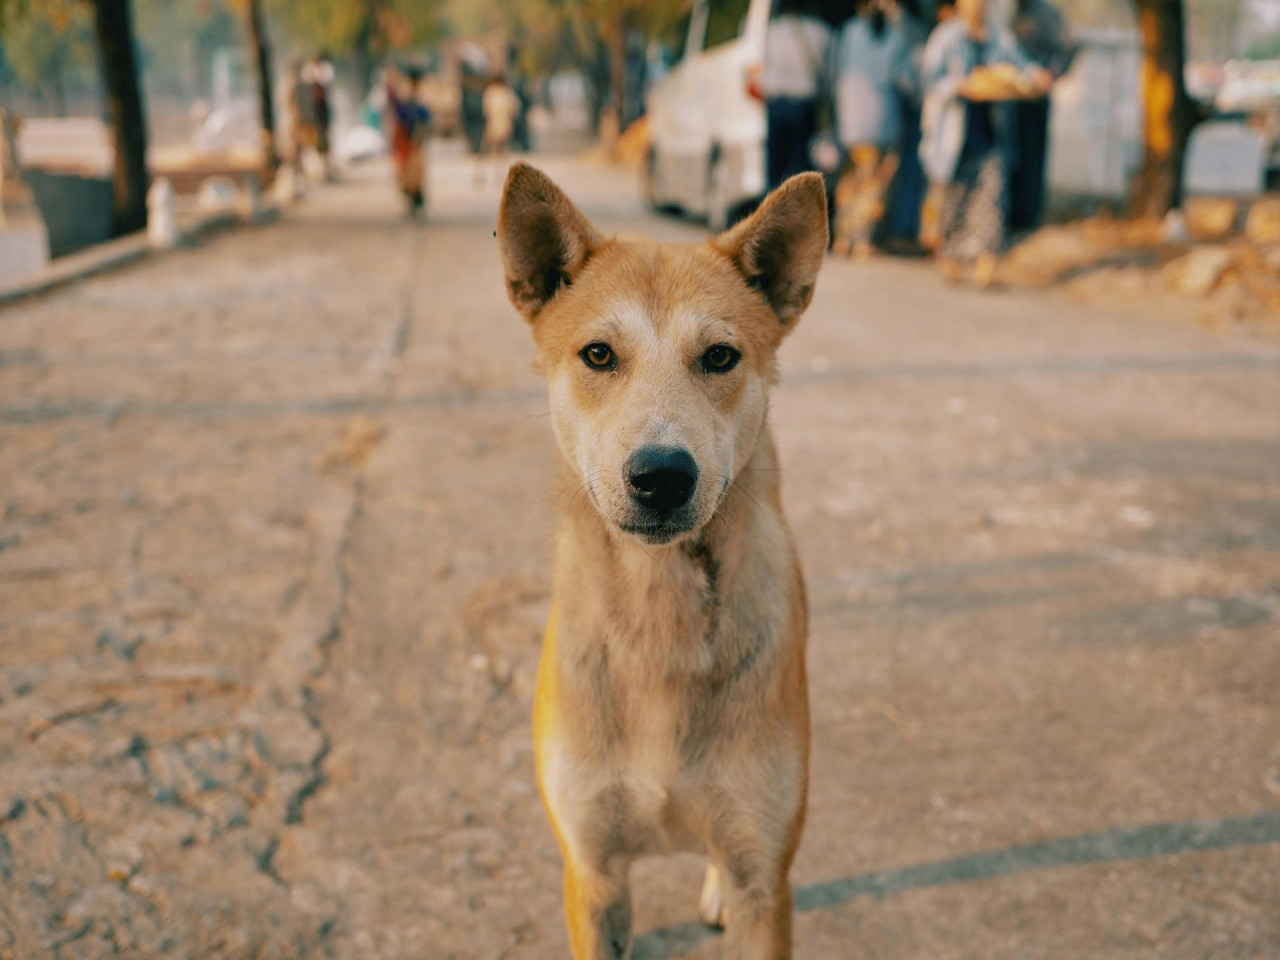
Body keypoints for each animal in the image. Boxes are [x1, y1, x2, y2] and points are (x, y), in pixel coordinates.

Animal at [494, 161, 824, 957]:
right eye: (598, 354)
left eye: (720, 356)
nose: (663, 475)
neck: (658, 612)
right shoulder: (593, 876)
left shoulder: (766, 880)